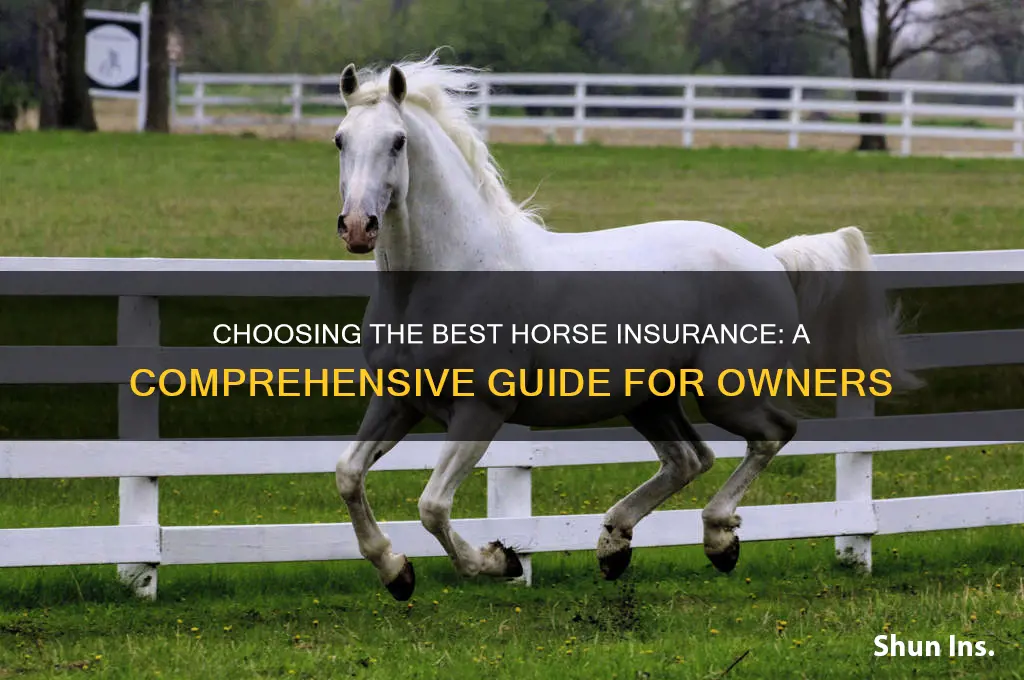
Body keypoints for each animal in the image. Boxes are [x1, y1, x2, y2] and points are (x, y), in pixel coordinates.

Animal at [330, 52, 918, 601]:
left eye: (398, 142)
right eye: (340, 140)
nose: (358, 226)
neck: (449, 277)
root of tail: (768, 258)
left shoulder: (481, 410)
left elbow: (432, 505)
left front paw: (500, 561)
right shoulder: (397, 400)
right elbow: (348, 474)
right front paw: (396, 571)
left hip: (724, 392)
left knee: (773, 433)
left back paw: (718, 541)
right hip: (649, 398)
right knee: (689, 458)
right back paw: (614, 545)